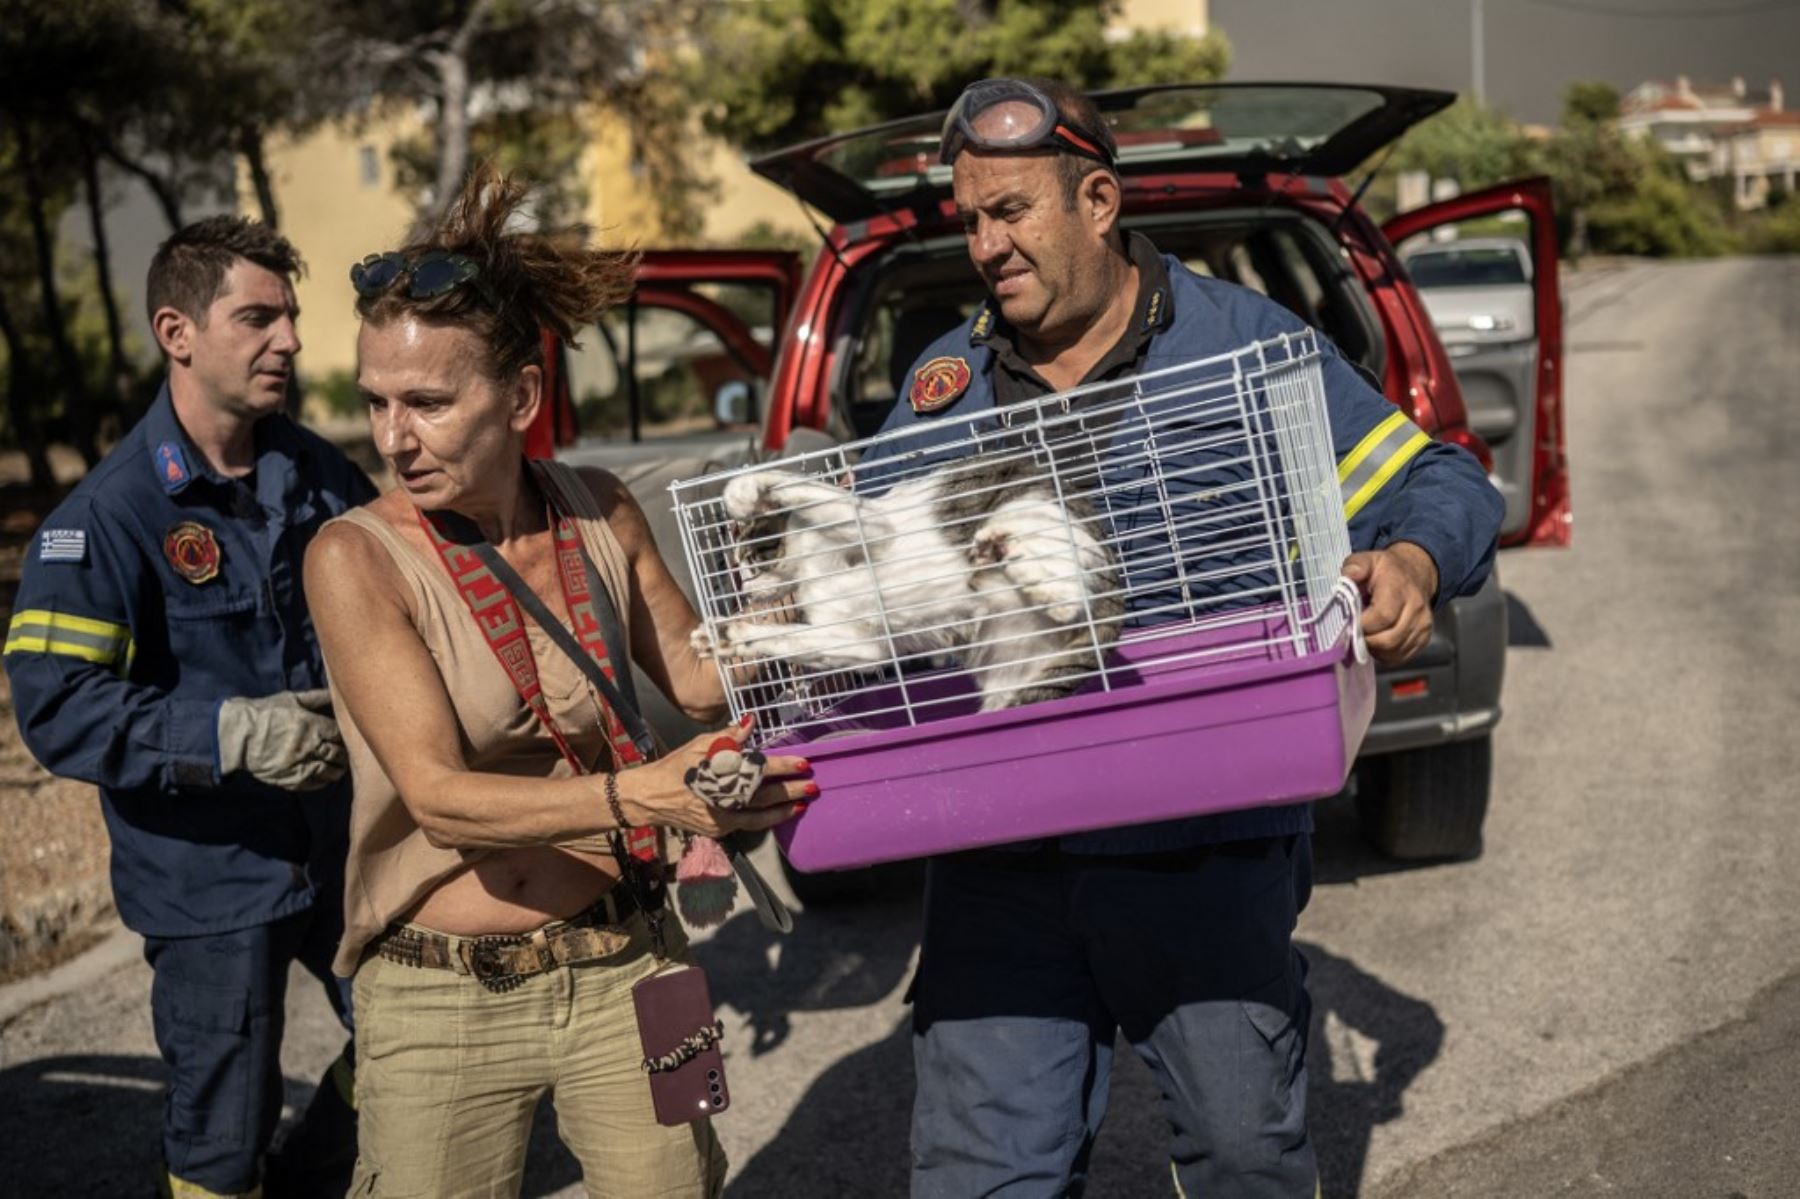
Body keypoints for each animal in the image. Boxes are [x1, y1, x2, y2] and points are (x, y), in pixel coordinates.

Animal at [691, 453, 1123, 705]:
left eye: (749, 563)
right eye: (736, 571)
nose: (745, 590)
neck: (807, 574)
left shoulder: (870, 525)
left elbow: (787, 485)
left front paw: (744, 492)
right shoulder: (860, 645)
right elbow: (786, 639)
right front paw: (723, 635)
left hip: (1028, 509)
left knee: (1068, 596)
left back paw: (1007, 558)